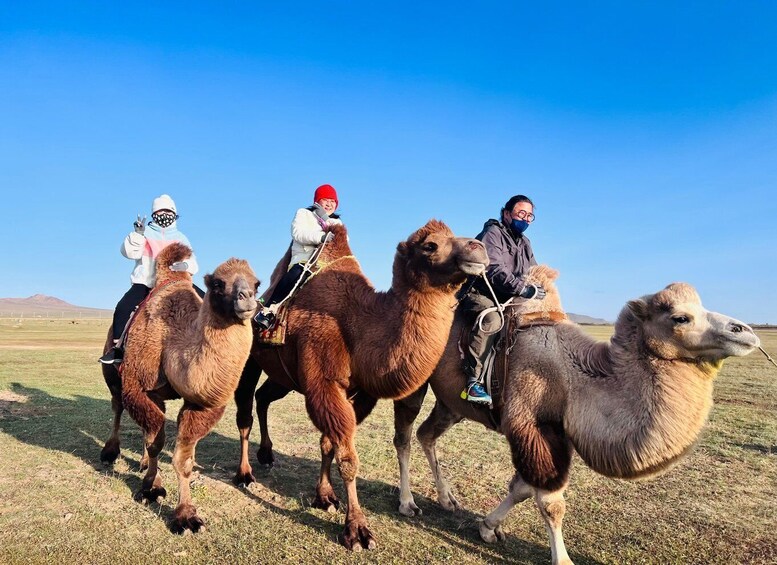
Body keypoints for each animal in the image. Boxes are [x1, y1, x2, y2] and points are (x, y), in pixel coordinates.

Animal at [117, 242, 259, 533]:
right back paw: (110, 453)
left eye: (257, 284)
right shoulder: (137, 388)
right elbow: (155, 443)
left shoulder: (200, 404)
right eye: (218, 283)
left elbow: (183, 459)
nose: (247, 297)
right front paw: (151, 489)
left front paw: (185, 515)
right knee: (117, 407)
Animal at [233, 220, 489, 550]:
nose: (478, 247)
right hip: (248, 358)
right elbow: (347, 457)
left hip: (284, 376)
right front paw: (357, 530)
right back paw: (244, 474)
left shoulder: (359, 394)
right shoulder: (325, 385)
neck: (358, 326)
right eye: (429, 246)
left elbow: (329, 444)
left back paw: (266, 454)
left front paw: (325, 497)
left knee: (264, 397)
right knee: (244, 412)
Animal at [392, 266, 761, 565]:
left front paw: (488, 527)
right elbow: (550, 501)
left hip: (453, 405)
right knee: (404, 437)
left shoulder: (554, 431)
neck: (575, 378)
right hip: (413, 379)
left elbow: (522, 488)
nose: (745, 332)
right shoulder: (532, 425)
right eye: (680, 318)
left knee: (427, 434)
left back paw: (448, 499)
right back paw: (408, 503)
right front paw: (562, 559)